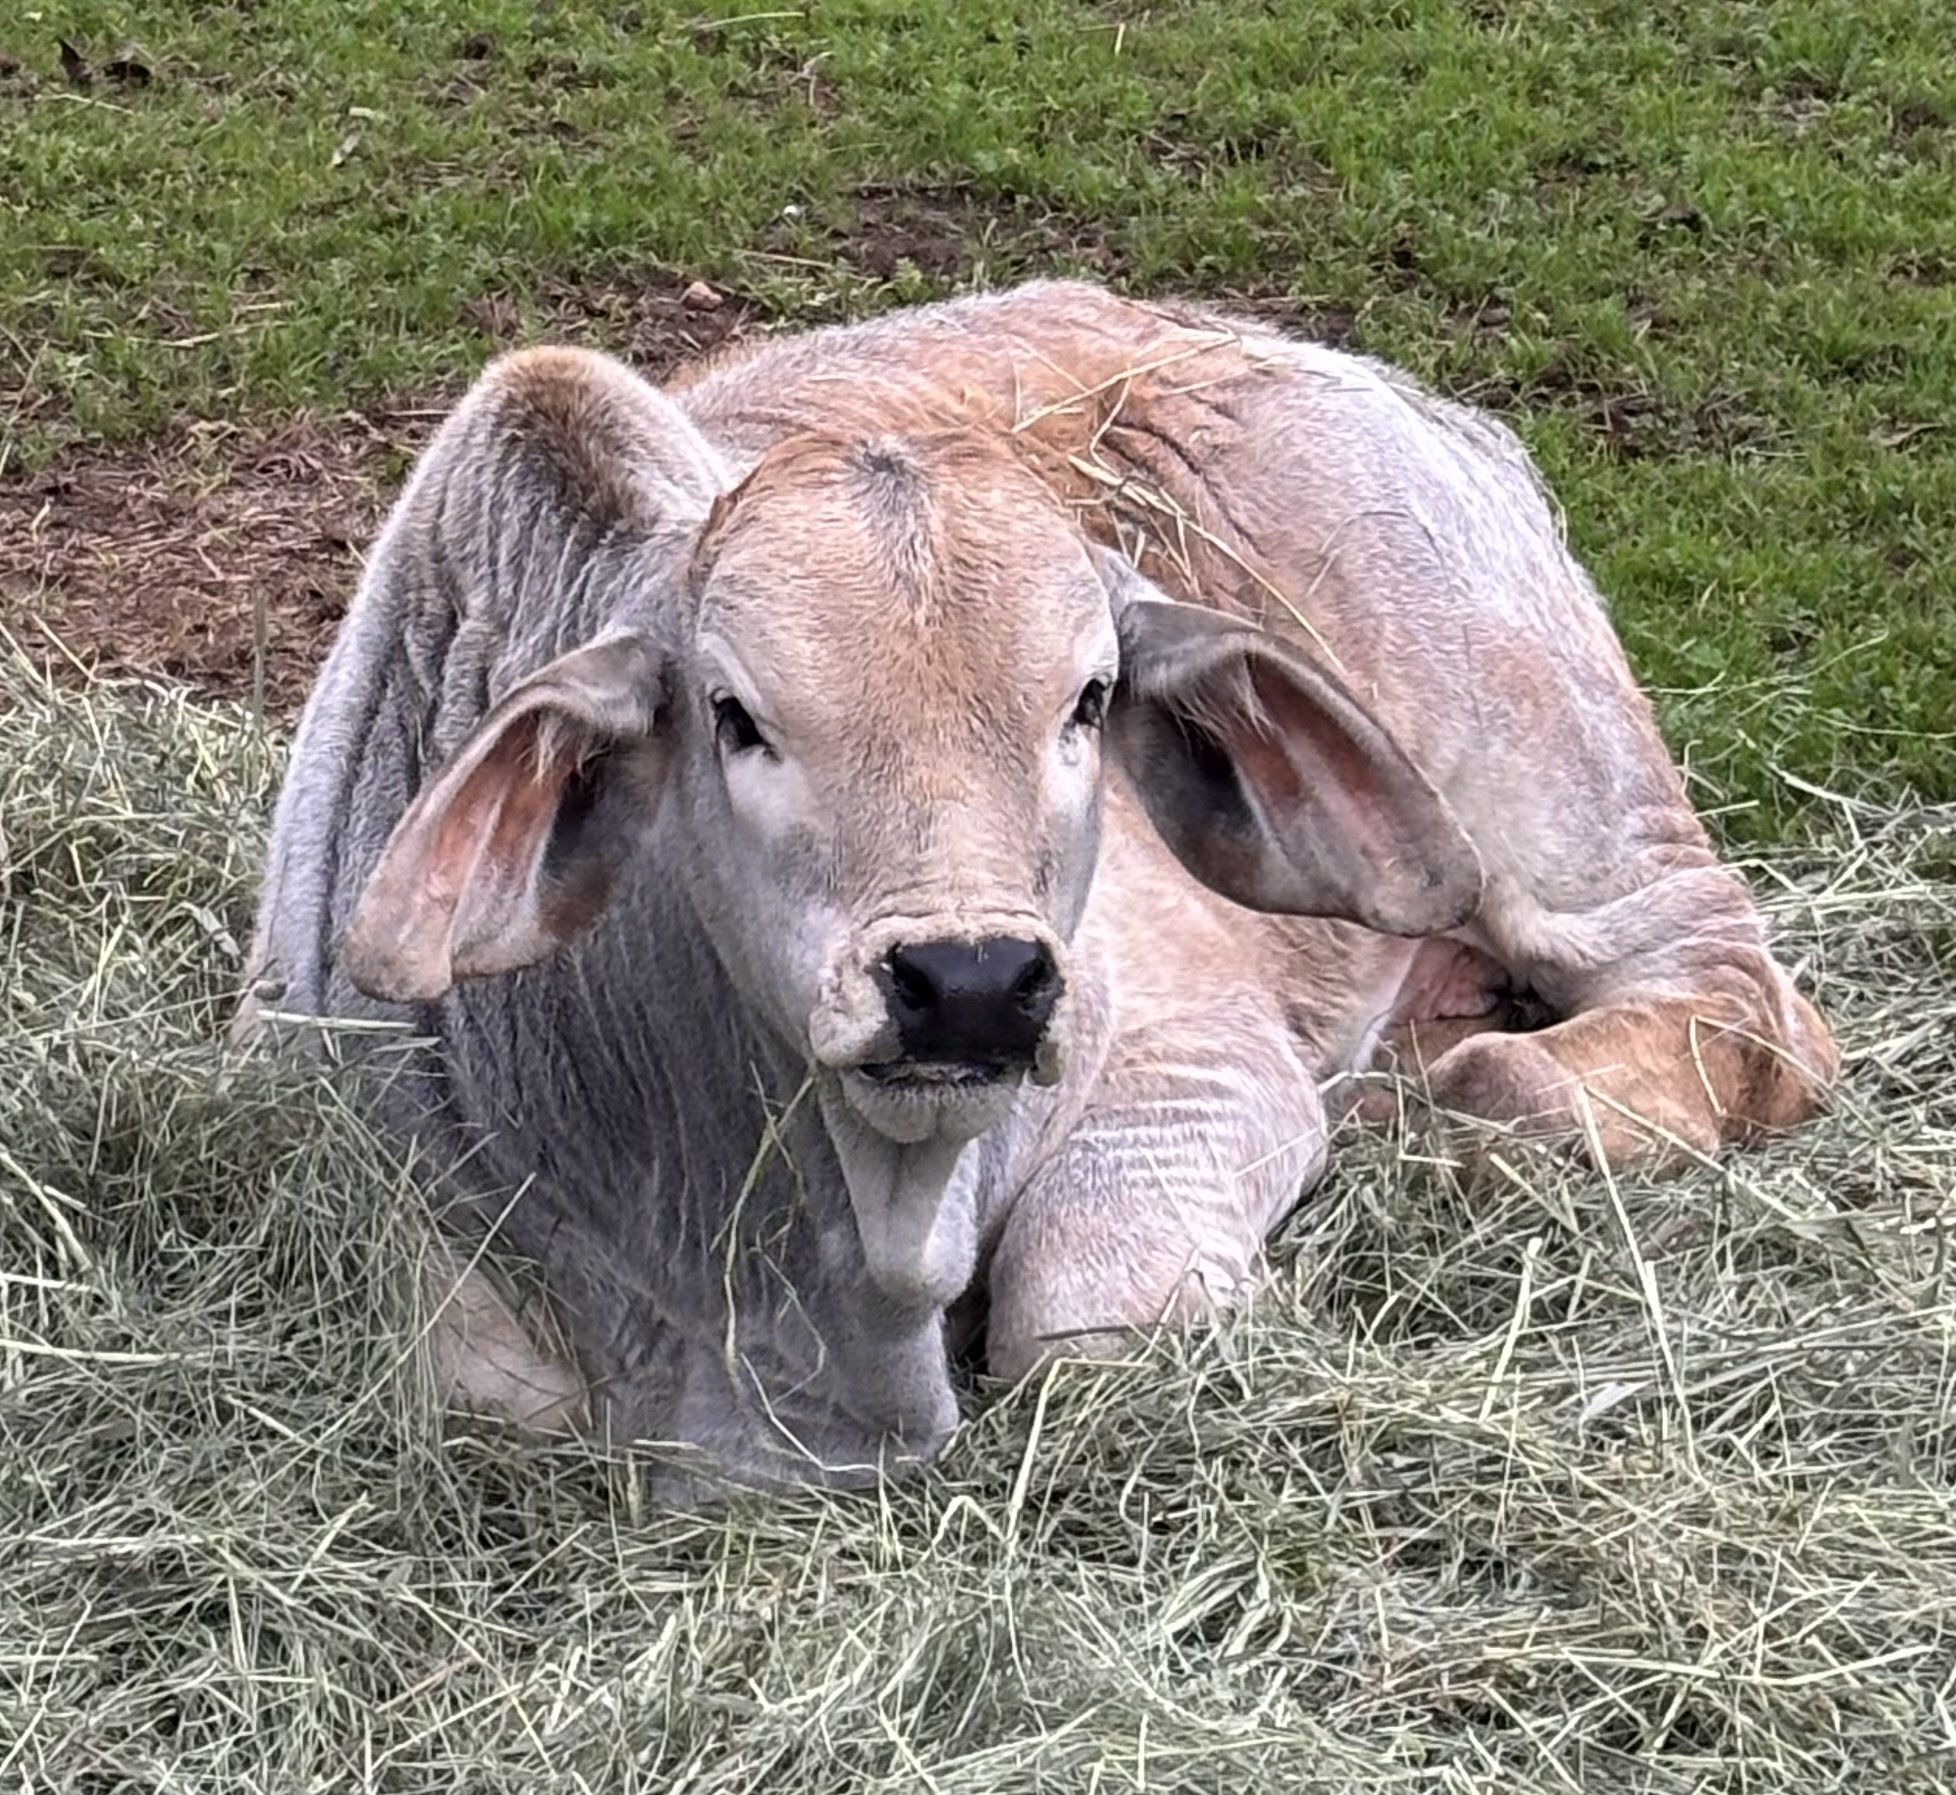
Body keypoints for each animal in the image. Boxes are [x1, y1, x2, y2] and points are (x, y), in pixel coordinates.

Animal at [236, 280, 1837, 1499]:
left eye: (1090, 699)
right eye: (734, 715)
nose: (970, 983)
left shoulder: (1197, 1054)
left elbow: (1080, 1319)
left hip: (1553, 781)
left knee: (1735, 1006)